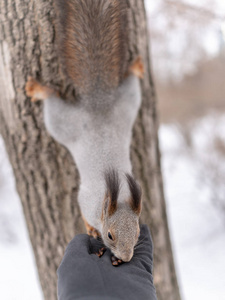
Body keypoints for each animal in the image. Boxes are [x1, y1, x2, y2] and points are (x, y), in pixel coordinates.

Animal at [25, 0, 144, 264]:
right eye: (109, 235)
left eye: (138, 232)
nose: (126, 257)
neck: (118, 194)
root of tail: (98, 102)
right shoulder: (86, 199)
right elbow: (81, 209)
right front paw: (90, 228)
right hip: (62, 122)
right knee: (52, 101)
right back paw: (39, 89)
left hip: (128, 104)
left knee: (131, 81)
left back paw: (136, 66)